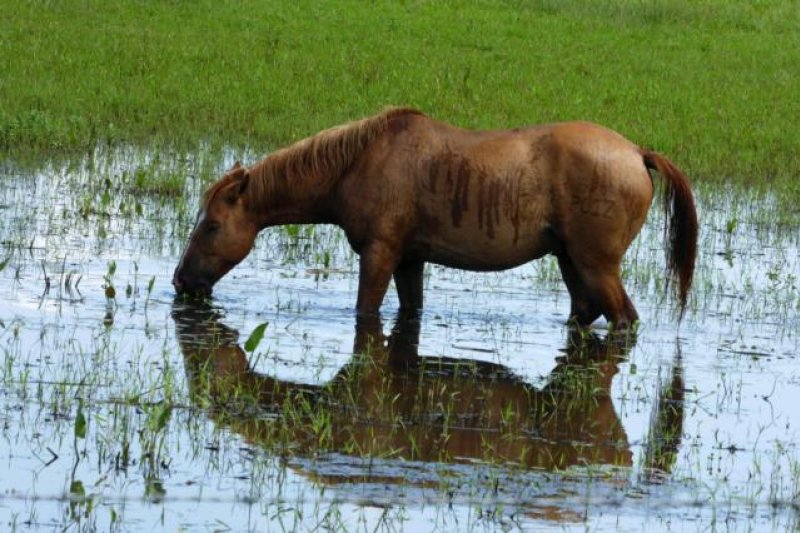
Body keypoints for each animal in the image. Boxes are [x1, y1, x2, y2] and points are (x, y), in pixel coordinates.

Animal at [173, 108, 697, 327]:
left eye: (212, 225)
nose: (181, 281)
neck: (356, 163)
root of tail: (636, 153)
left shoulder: (380, 254)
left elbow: (366, 311)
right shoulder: (410, 260)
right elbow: (411, 311)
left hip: (595, 264)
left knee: (624, 319)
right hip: (570, 261)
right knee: (585, 313)